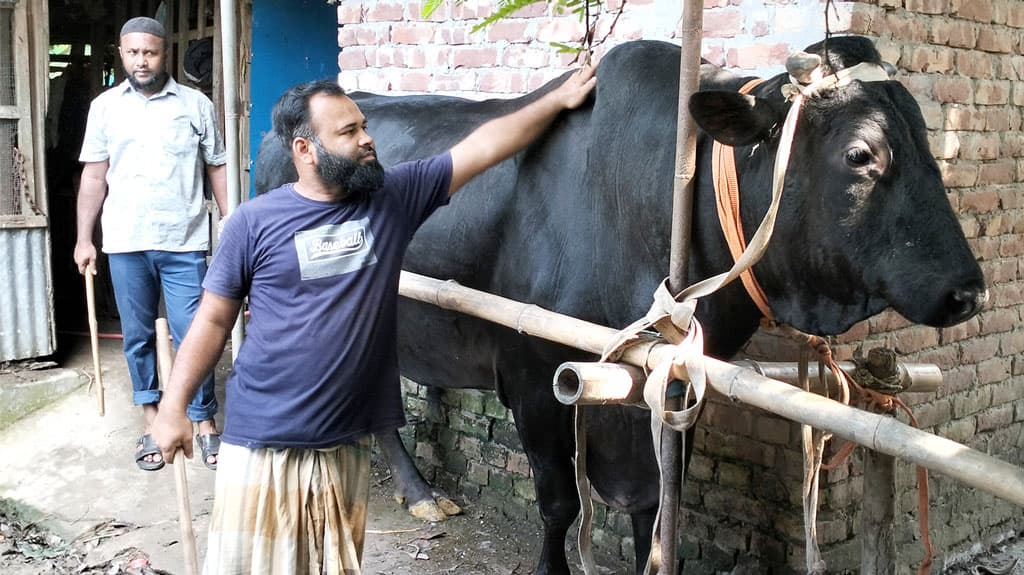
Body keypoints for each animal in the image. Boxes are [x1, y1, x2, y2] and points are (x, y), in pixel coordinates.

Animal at [253, 38, 983, 568]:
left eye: (929, 140)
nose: (968, 291)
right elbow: (558, 503)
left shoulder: (677, 388)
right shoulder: (533, 377)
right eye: (860, 152)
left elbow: (654, 509)